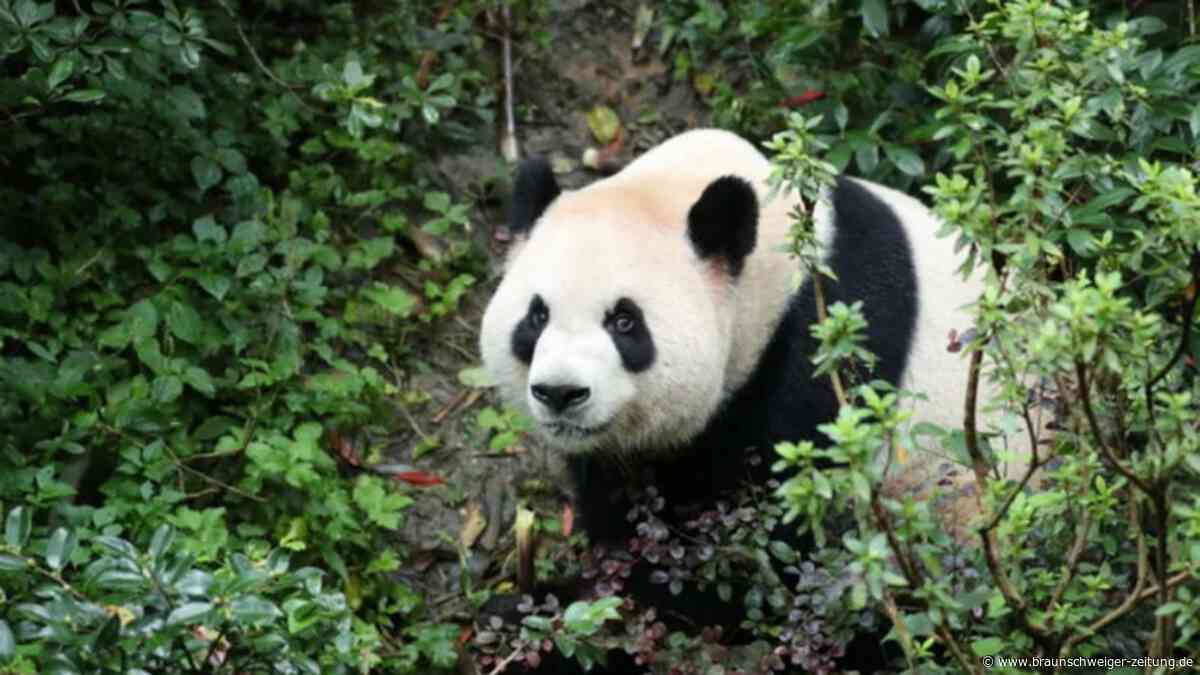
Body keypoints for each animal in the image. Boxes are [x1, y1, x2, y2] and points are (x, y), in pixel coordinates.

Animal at [479, 129, 1035, 673]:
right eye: (536, 317)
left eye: (624, 322)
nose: (560, 392)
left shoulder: (822, 356)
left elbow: (759, 556)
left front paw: (559, 619)